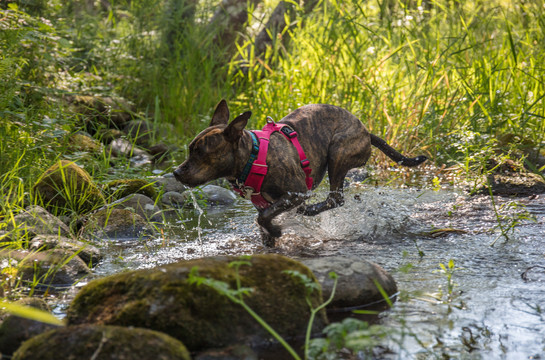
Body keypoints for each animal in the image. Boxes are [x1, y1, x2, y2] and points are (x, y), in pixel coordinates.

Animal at [173, 100, 424, 246]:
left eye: (200, 152)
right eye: (189, 149)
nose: (175, 172)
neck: (252, 156)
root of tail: (365, 131)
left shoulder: (295, 192)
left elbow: (263, 218)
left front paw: (275, 230)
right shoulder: (267, 202)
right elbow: (263, 219)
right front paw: (269, 239)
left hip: (338, 152)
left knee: (335, 198)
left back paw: (310, 209)